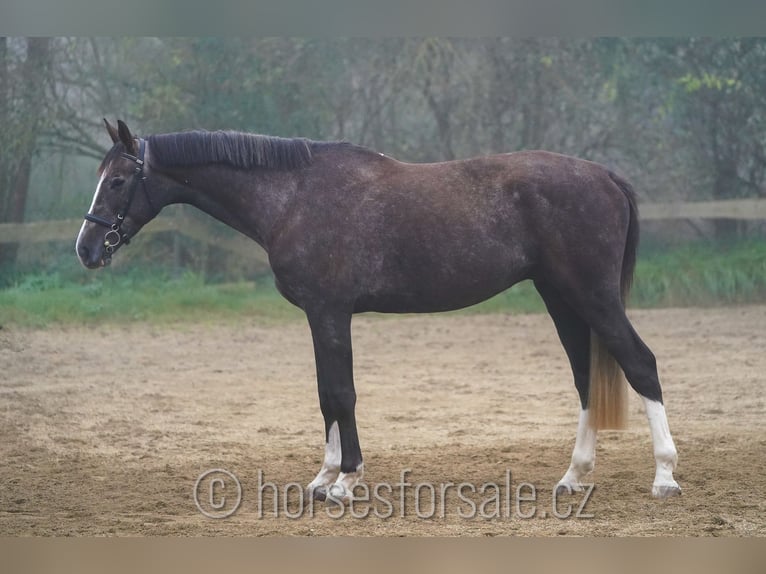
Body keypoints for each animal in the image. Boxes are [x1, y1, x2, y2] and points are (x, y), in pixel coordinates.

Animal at [75, 119, 680, 502]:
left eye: (120, 180)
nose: (86, 249)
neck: (294, 195)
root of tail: (605, 176)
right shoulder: (318, 316)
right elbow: (325, 392)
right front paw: (322, 479)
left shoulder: (330, 312)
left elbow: (342, 392)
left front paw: (346, 482)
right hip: (562, 299)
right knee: (585, 376)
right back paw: (574, 476)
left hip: (592, 296)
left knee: (640, 364)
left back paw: (664, 477)